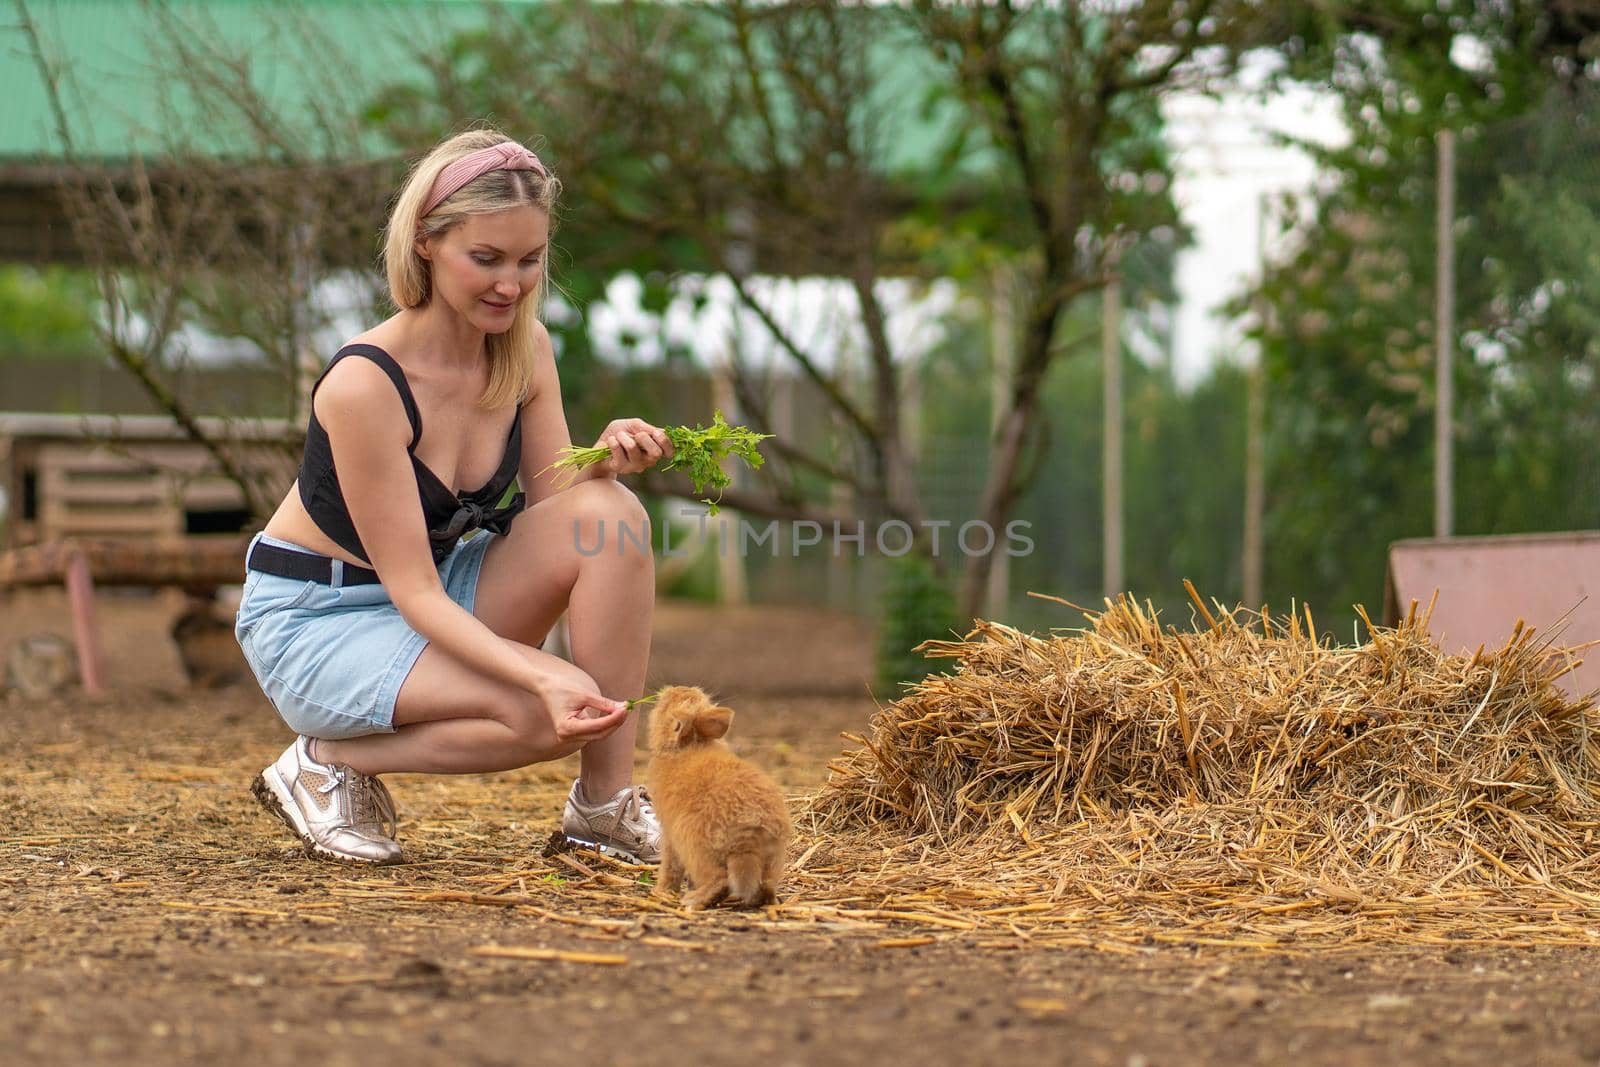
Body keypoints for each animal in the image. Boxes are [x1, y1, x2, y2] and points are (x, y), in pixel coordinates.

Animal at [646, 684, 790, 908]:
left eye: (668, 702)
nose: (671, 689)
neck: (688, 745)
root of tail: (748, 834)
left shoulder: (669, 834)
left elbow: (670, 866)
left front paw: (661, 891)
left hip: (693, 845)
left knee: (718, 879)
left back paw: (693, 899)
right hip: (772, 859)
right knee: (766, 885)